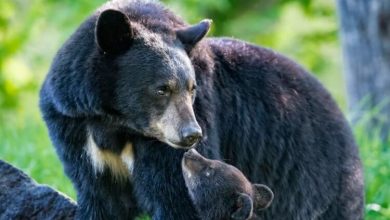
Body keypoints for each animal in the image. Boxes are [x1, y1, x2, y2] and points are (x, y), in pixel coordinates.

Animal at [38, 0, 362, 219]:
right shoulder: (74, 127)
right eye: (162, 88)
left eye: (191, 88)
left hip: (315, 181)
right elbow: (100, 196)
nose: (191, 135)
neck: (117, 123)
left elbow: (175, 195)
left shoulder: (189, 127)